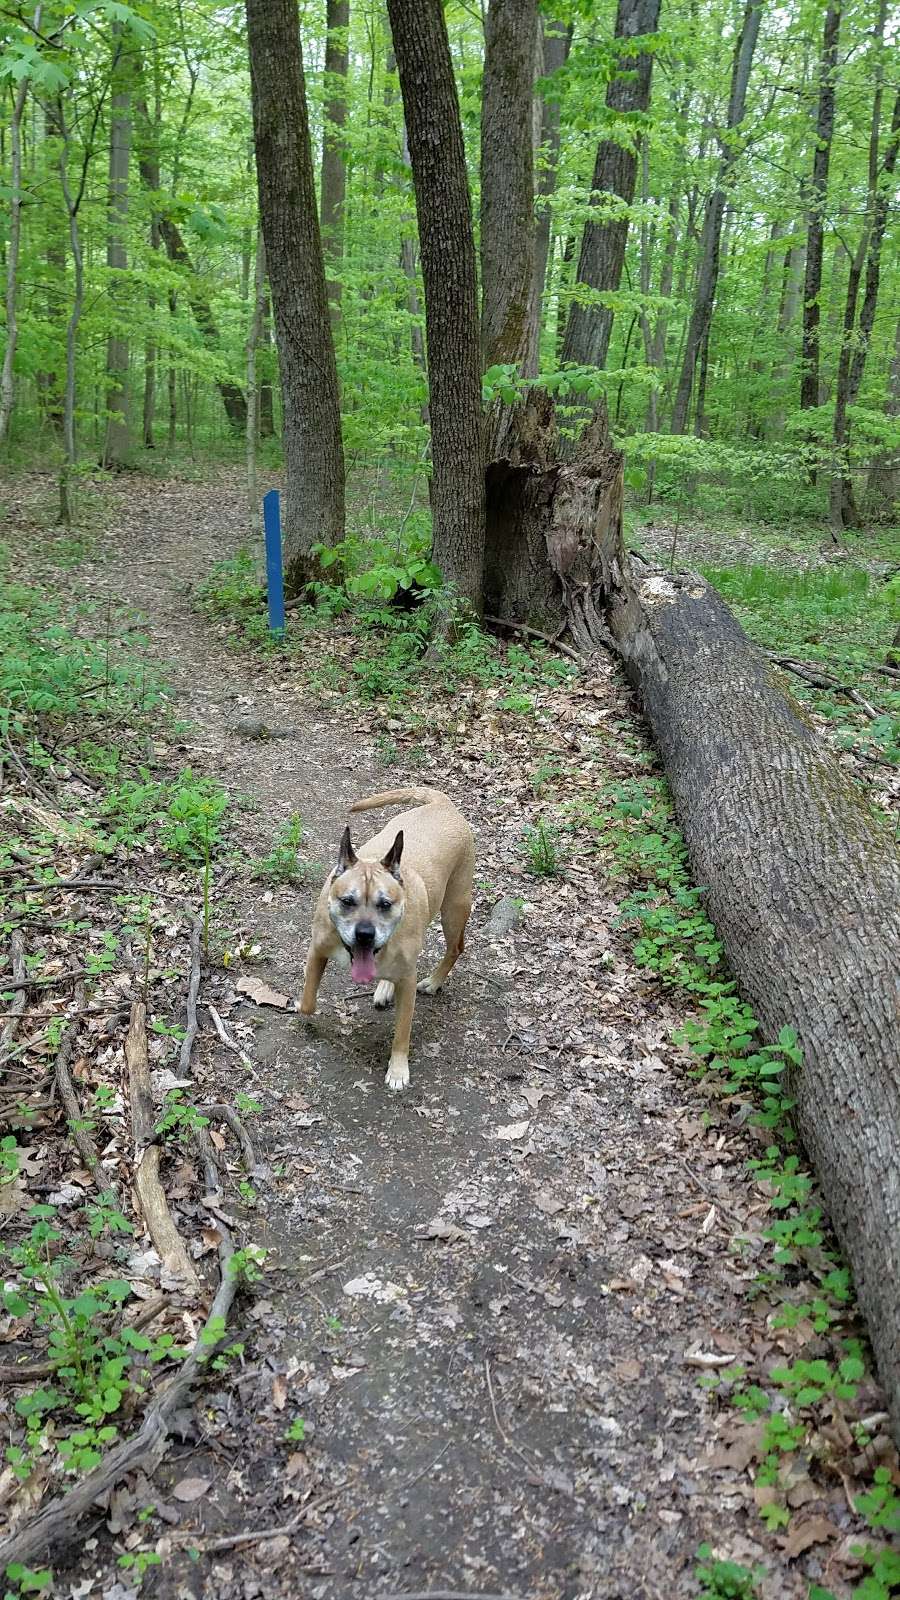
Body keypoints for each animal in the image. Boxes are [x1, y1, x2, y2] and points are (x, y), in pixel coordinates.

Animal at [297, 784, 474, 1088]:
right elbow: (308, 1001)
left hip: (453, 911)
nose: (365, 934)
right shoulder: (317, 950)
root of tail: (443, 804)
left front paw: (398, 1069)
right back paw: (384, 987)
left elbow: (402, 1032)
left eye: (385, 904)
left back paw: (434, 982)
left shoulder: (408, 981)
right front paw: (304, 1010)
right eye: (347, 901)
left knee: (455, 948)